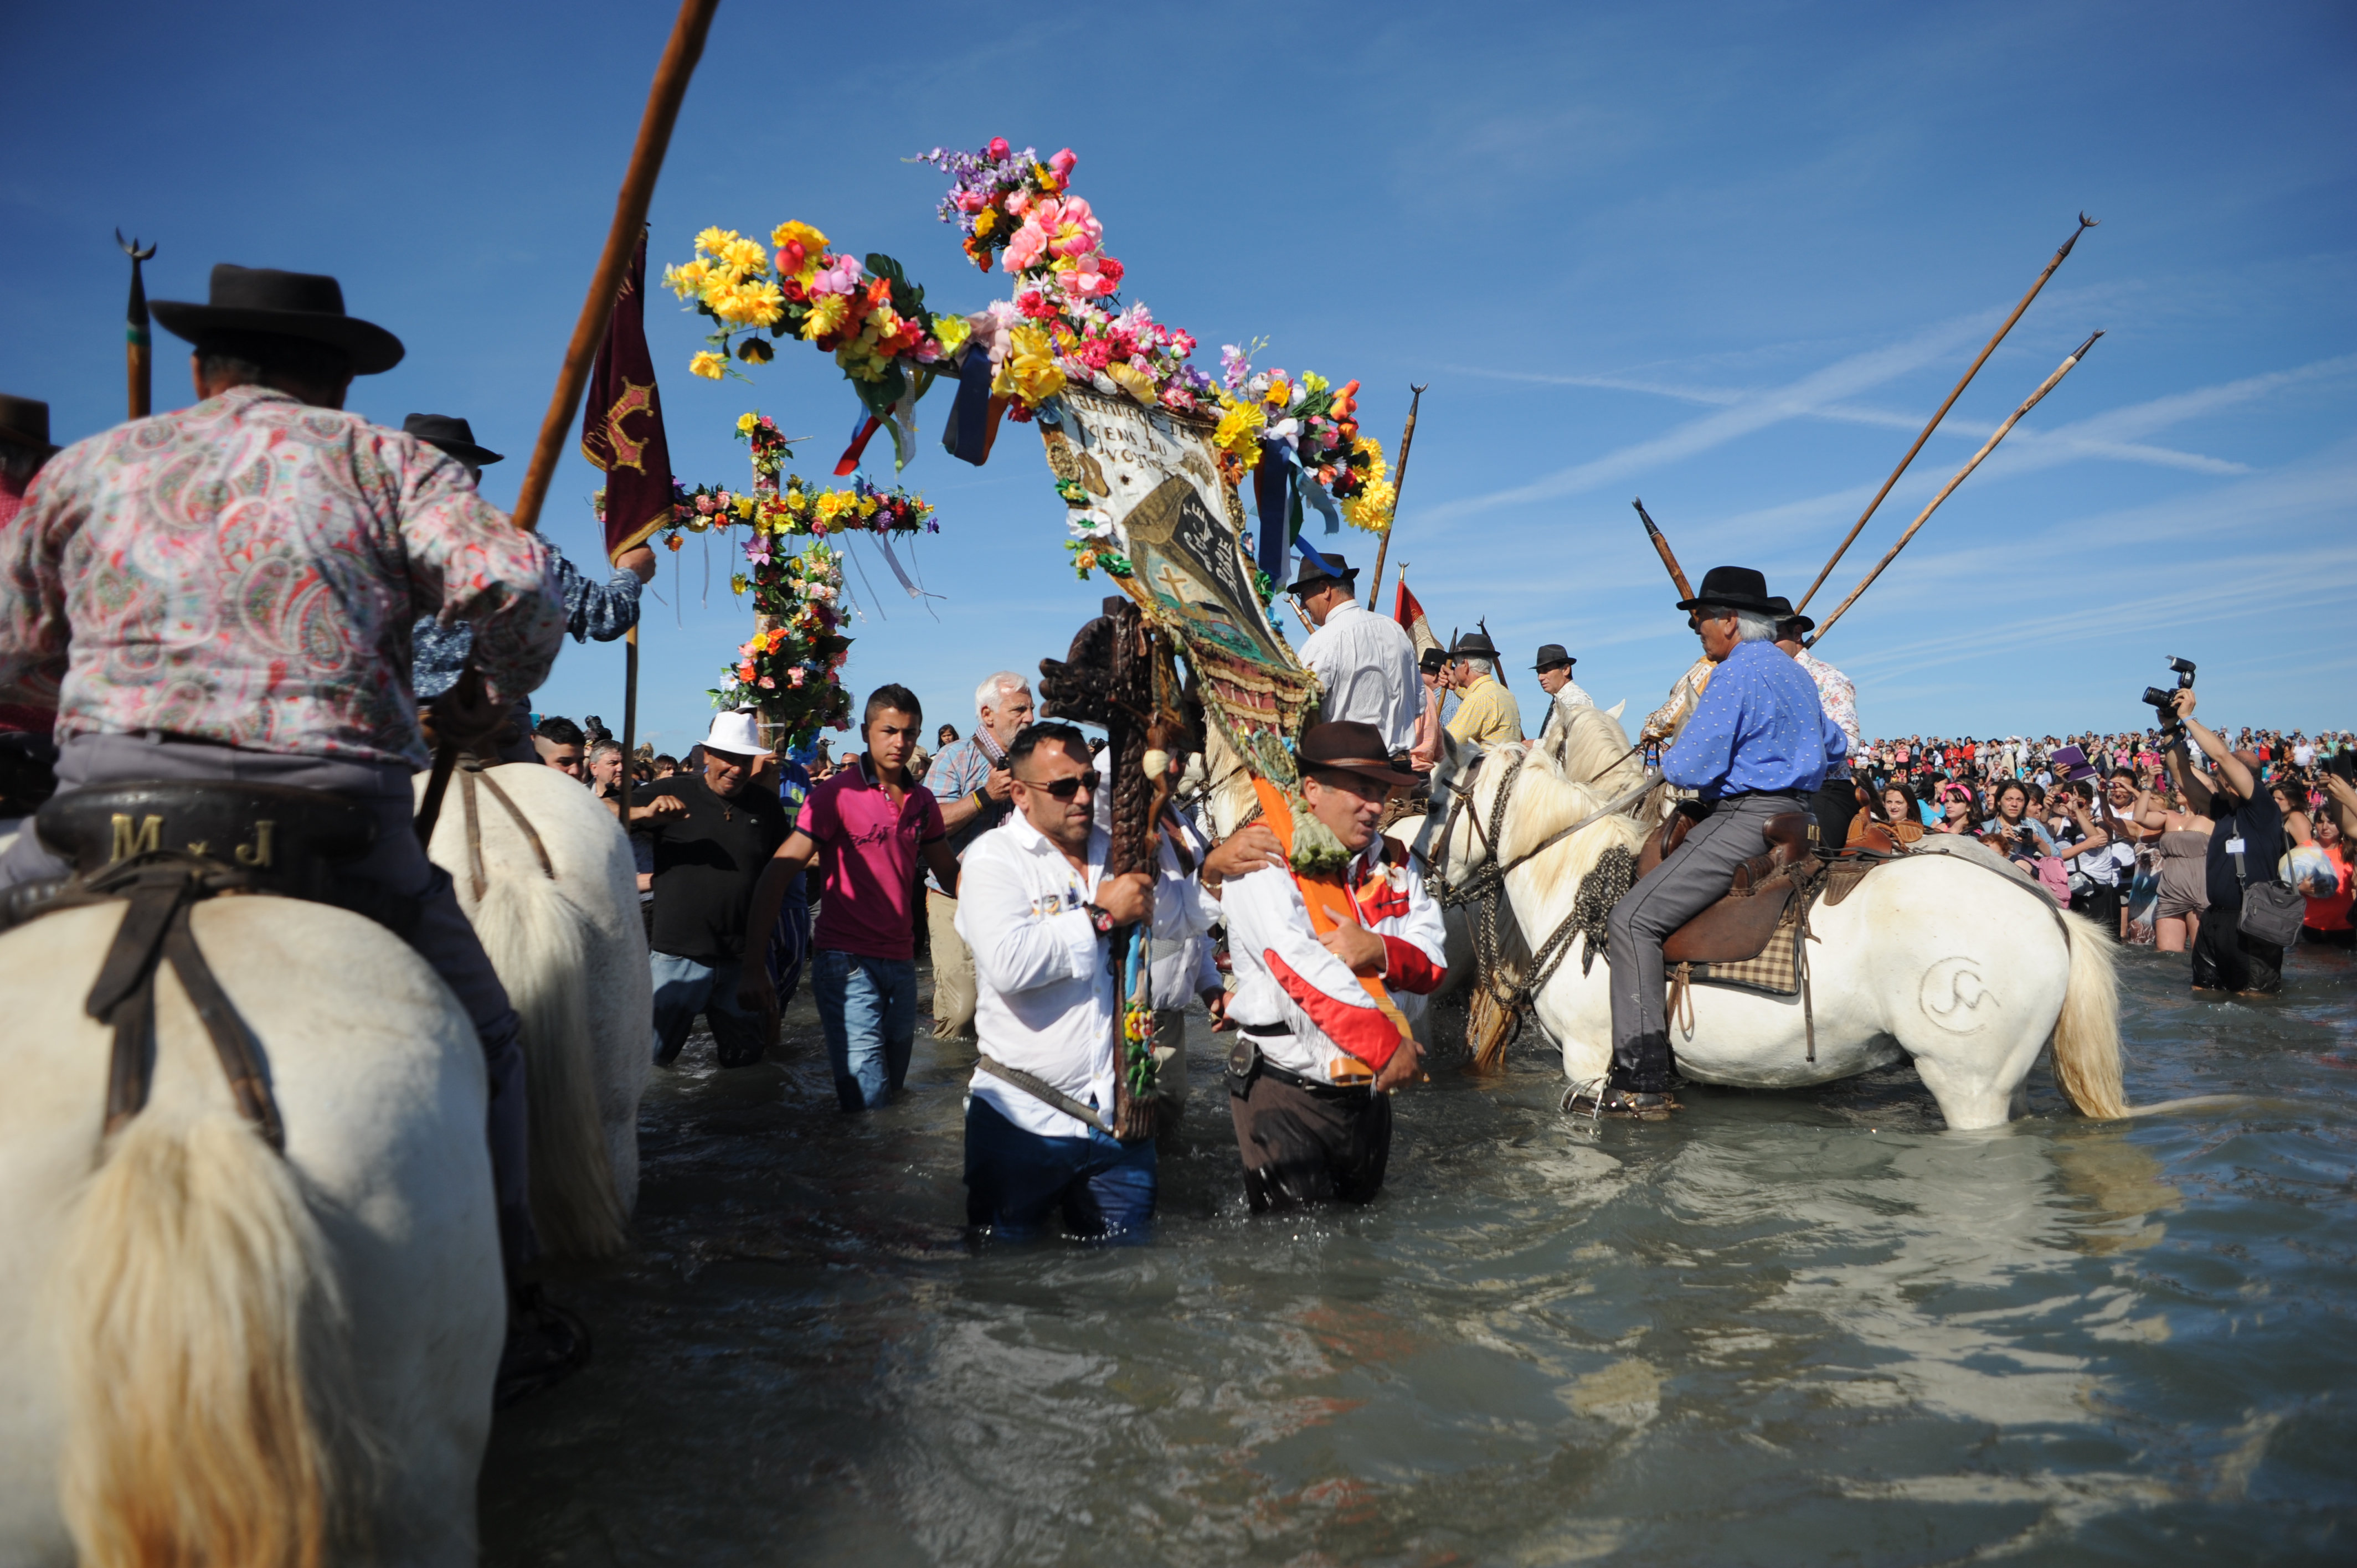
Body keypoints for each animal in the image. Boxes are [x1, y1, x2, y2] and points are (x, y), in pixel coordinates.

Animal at [1414, 698, 2140, 1127]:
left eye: (1432, 799)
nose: (1418, 869)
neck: (1574, 878)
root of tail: (2050, 912)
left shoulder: (1589, 1063)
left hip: (1970, 1086)